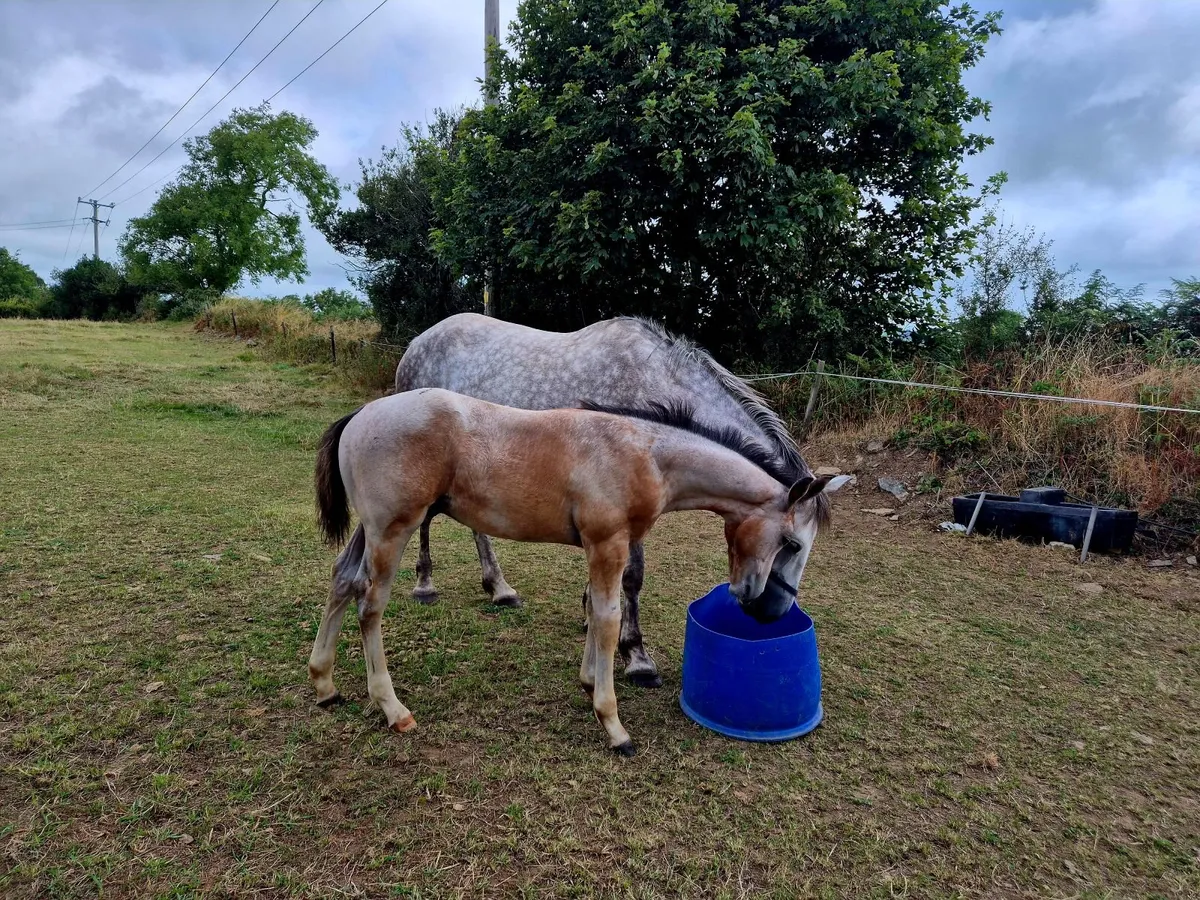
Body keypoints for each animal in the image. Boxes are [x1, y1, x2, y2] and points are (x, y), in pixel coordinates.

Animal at [310, 388, 844, 755]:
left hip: (370, 530)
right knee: (369, 605)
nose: (769, 611)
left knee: (341, 581)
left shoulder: (598, 546)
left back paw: (325, 684)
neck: (647, 454)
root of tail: (362, 414)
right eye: (792, 543)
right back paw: (392, 709)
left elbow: (594, 608)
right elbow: (608, 619)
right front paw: (613, 725)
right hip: (392, 530)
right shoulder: (609, 543)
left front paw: (589, 683)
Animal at [391, 313, 848, 688]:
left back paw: (498, 587)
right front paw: (637, 656)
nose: (773, 613)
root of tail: (418, 342)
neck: (653, 383)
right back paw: (425, 583)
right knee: (425, 519)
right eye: (793, 544)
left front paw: (588, 614)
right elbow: (633, 577)